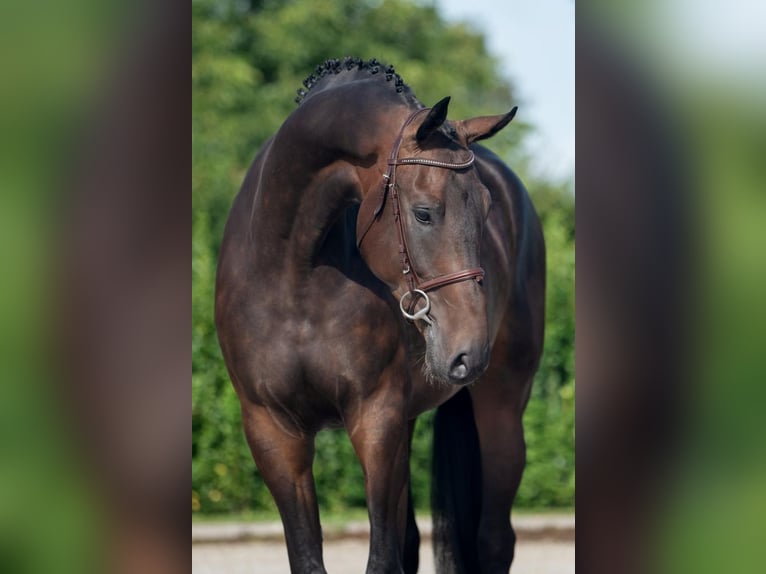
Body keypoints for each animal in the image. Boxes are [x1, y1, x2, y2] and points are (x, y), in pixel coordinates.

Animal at [213, 57, 544, 574]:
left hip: (502, 408)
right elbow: (310, 556)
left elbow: (382, 558)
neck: (295, 274)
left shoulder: (376, 419)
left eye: (487, 208)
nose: (468, 352)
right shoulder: (272, 431)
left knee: (494, 541)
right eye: (424, 213)